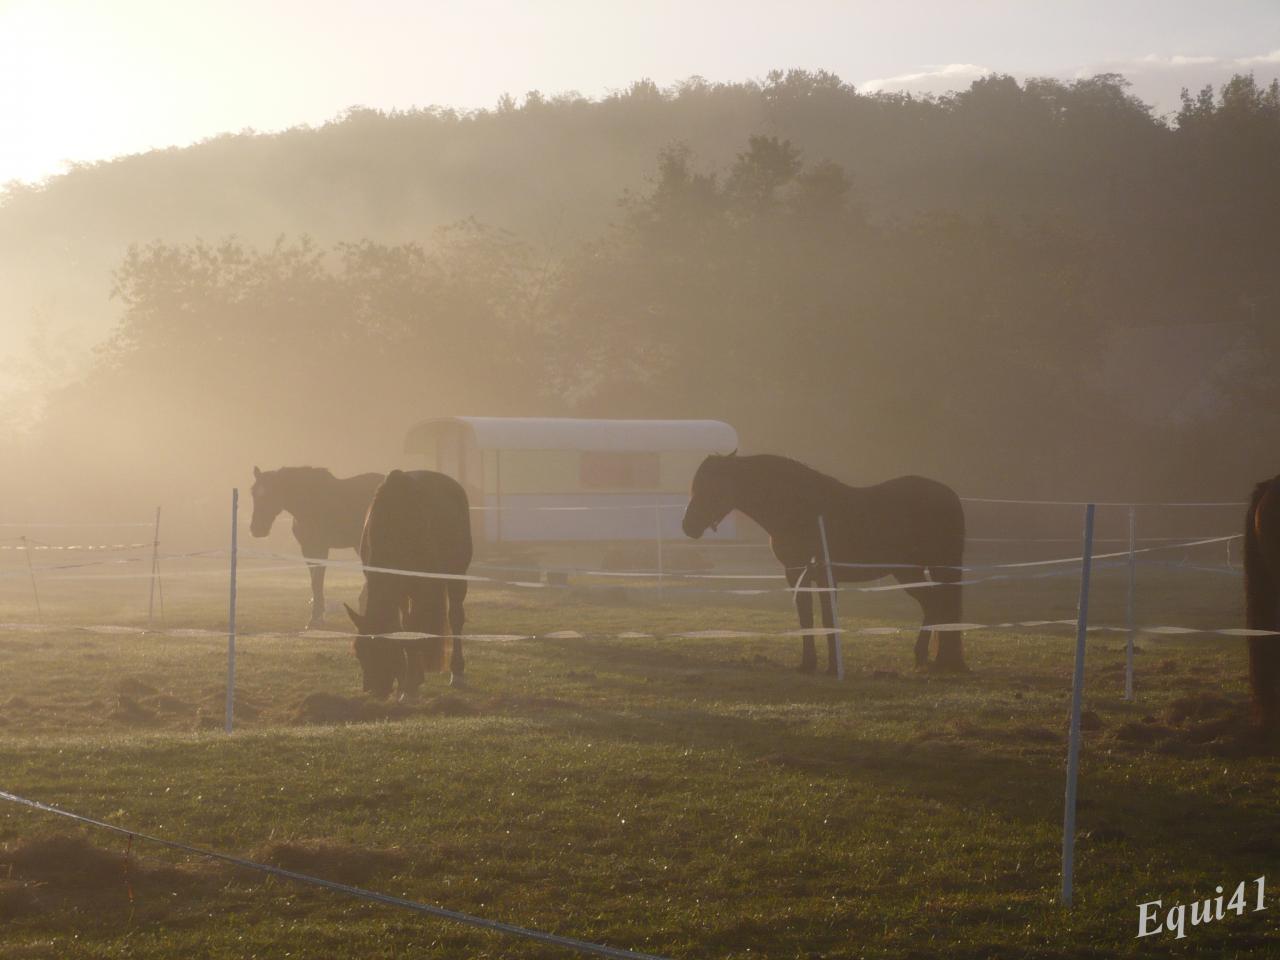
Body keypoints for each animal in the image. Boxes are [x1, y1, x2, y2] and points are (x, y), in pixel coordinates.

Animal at [249, 468, 384, 632]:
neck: (310, 503)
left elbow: (317, 581)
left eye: (271, 493)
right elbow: (315, 582)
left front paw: (316, 619)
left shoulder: (321, 549)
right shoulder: (308, 549)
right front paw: (315, 617)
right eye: (253, 493)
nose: (256, 529)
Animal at [345, 468, 476, 701]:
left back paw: (457, 673)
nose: (375, 689)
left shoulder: (420, 585)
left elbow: (414, 626)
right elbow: (406, 627)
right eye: (360, 652)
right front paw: (410, 682)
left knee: (455, 617)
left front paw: (409, 688)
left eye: (383, 649)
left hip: (456, 574)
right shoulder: (398, 589)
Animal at [686, 453, 962, 670]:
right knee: (934, 606)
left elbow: (827, 618)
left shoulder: (818, 574)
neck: (800, 509)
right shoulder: (798, 574)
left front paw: (829, 666)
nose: (688, 525)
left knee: (937, 606)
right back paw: (934, 659)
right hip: (911, 572)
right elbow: (807, 617)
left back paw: (929, 657)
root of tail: (949, 495)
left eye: (710, 487)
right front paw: (810, 663)